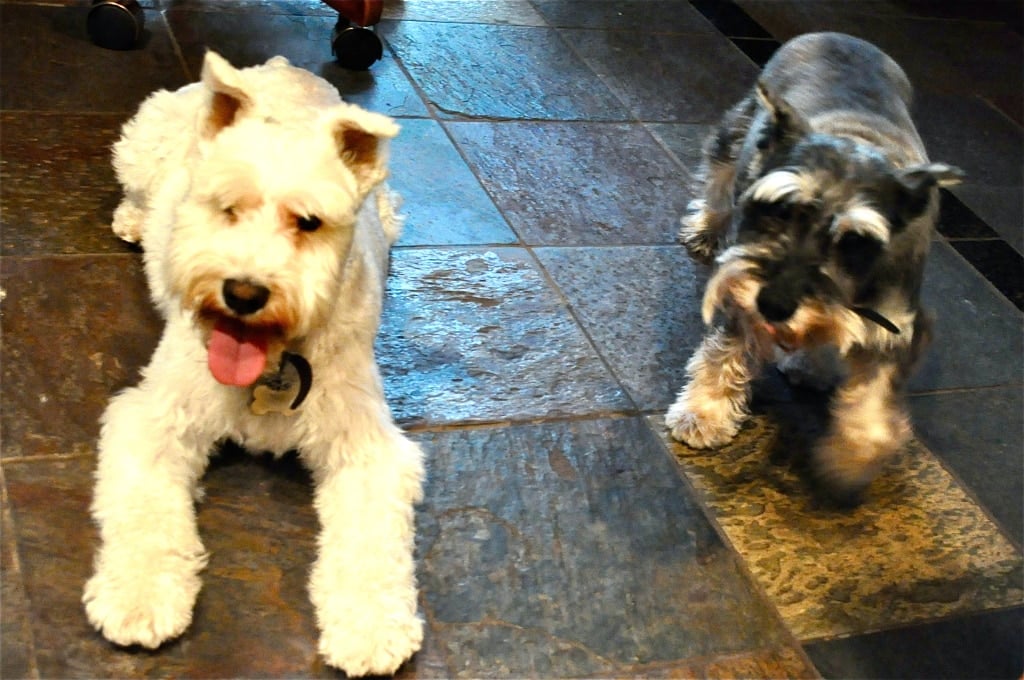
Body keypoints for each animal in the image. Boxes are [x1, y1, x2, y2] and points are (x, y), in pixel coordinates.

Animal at [78, 51, 423, 675]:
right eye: (226, 207)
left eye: (309, 222)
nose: (243, 293)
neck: (275, 357)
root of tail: (283, 64)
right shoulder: (155, 418)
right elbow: (145, 511)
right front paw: (139, 598)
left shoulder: (366, 447)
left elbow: (372, 542)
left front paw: (370, 628)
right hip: (142, 143)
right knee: (134, 190)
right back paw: (134, 220)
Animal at [667, 31, 962, 499]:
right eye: (776, 210)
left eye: (854, 241)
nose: (774, 305)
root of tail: (845, 36)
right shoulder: (740, 292)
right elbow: (724, 351)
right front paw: (704, 413)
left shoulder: (894, 327)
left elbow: (874, 405)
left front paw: (848, 459)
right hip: (739, 133)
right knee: (718, 178)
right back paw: (706, 228)